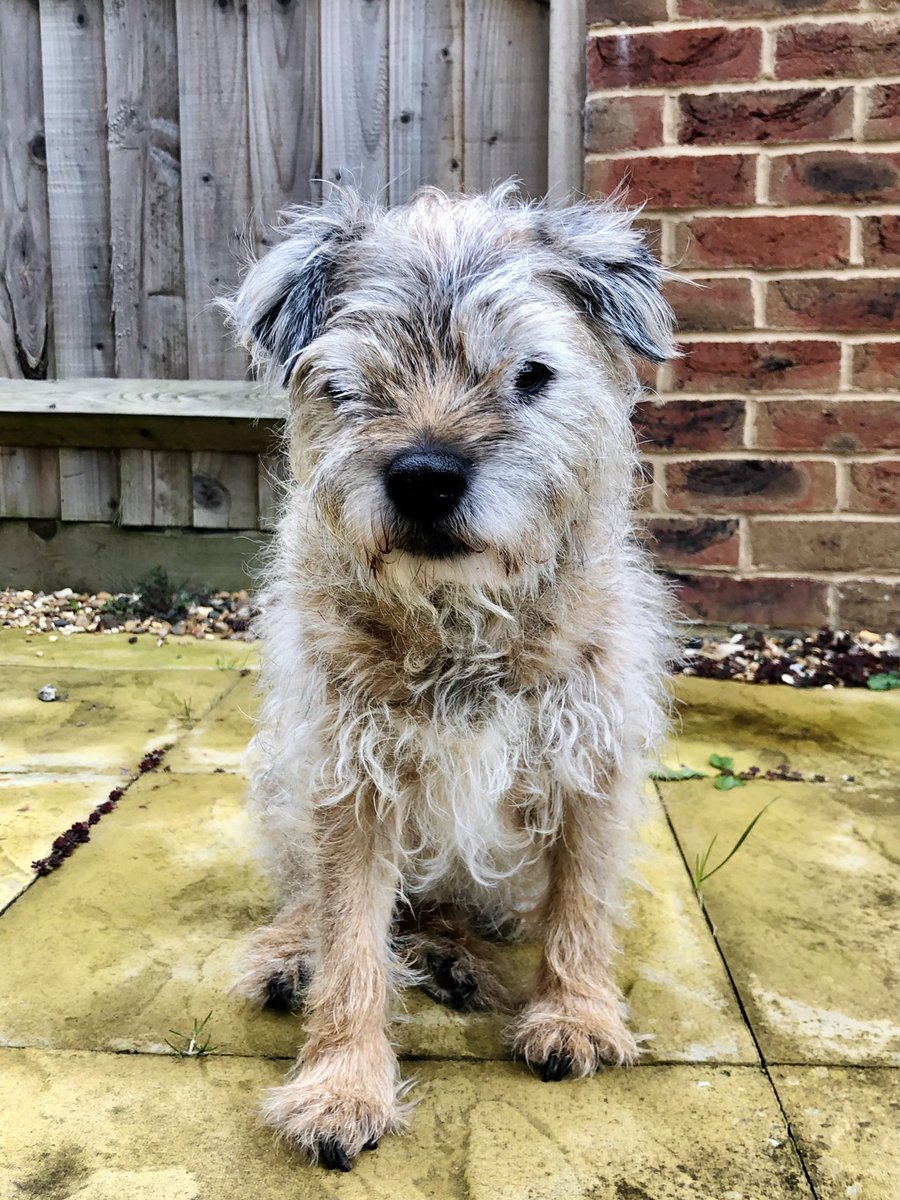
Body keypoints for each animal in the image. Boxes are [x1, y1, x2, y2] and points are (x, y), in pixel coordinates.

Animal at [225, 184, 676, 1171]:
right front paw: (341, 1085)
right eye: (350, 382)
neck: (460, 617)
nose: (425, 477)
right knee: (316, 898)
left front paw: (576, 1015)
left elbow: (581, 899)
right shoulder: (349, 779)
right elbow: (351, 937)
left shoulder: (588, 761)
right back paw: (293, 956)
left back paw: (462, 957)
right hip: (282, 781)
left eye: (532, 375)